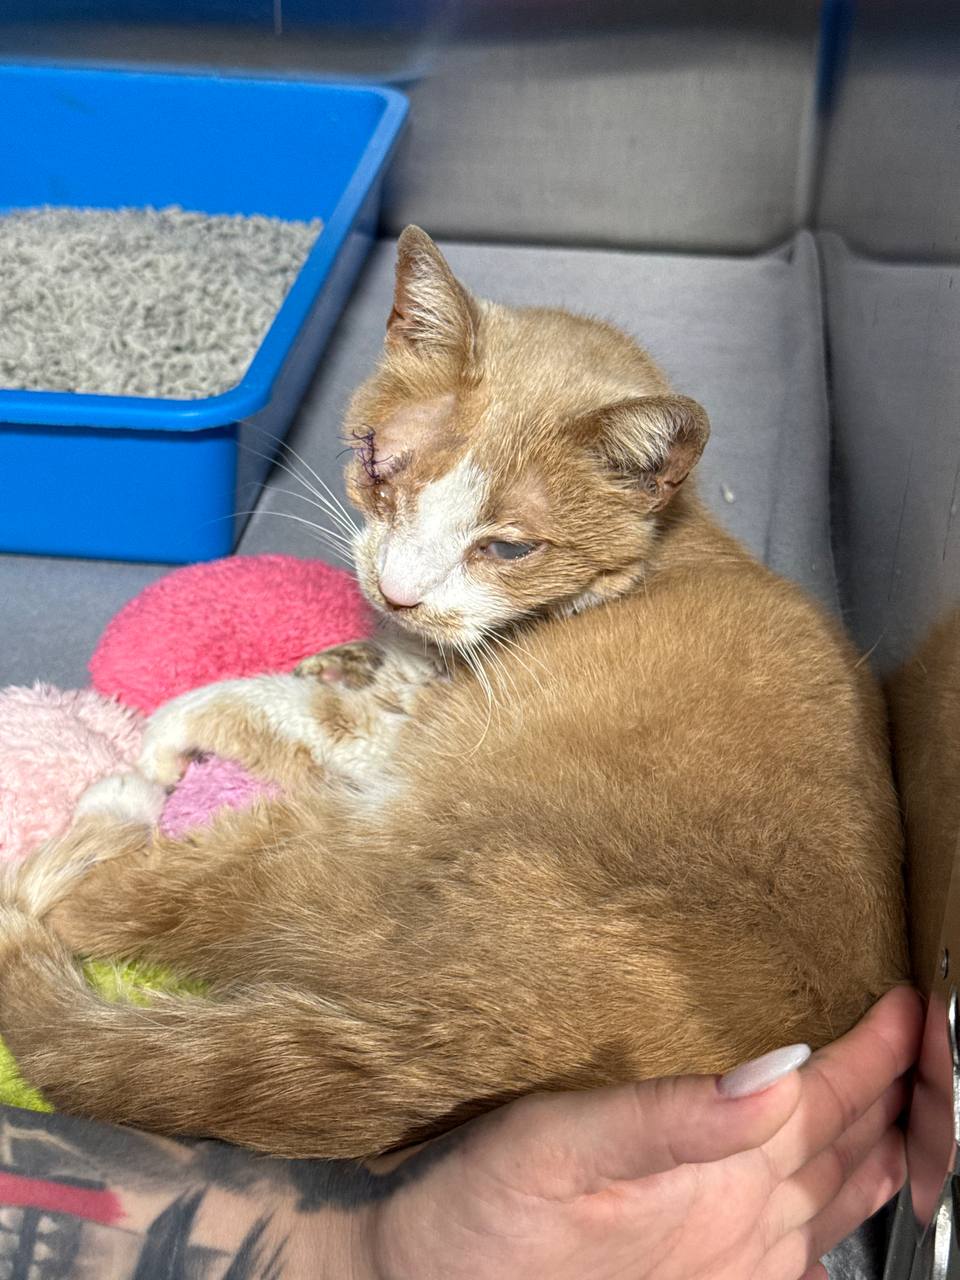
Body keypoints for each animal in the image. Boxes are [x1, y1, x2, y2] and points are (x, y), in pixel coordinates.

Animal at [0, 227, 907, 1159]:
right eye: (376, 464)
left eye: (507, 548)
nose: (397, 592)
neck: (657, 557)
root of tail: (524, 1043)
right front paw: (349, 653)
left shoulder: (394, 734)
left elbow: (257, 707)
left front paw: (167, 736)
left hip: (367, 845)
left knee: (84, 903)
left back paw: (112, 806)